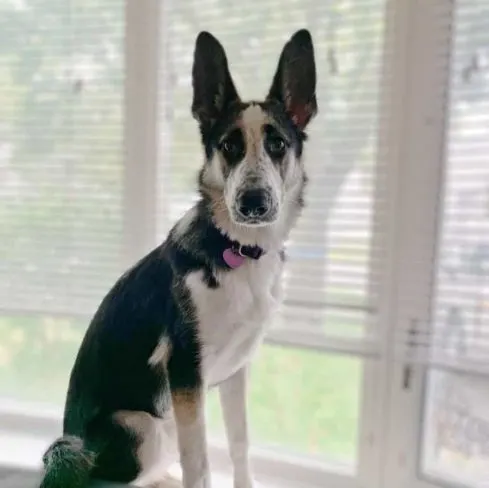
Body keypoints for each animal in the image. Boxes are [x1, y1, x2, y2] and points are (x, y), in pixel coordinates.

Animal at [40, 28, 318, 488]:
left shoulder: (235, 374)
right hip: (146, 428)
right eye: (229, 146)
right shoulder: (187, 375)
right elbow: (200, 464)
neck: (238, 248)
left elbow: (240, 446)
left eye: (277, 143)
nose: (253, 203)